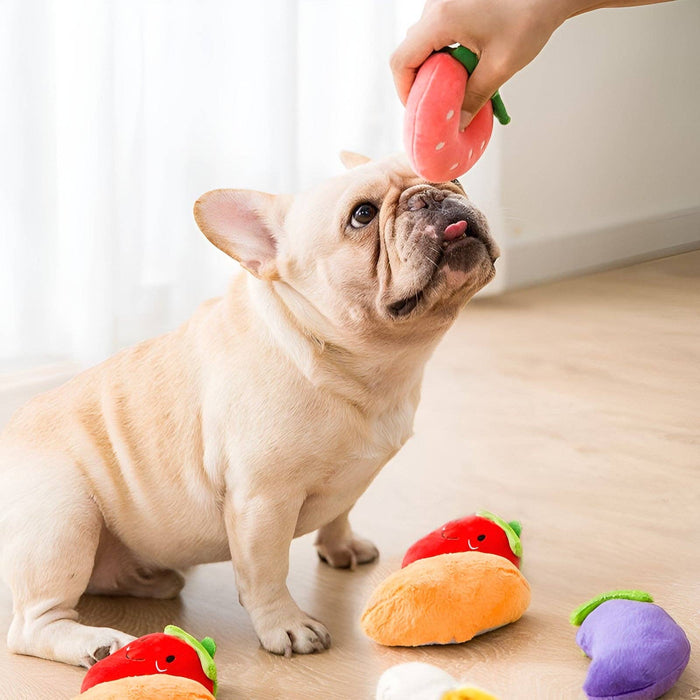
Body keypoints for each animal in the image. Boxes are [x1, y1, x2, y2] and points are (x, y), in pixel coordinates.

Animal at [0, 153, 498, 668]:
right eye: (362, 215)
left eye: (452, 175)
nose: (431, 195)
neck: (355, 364)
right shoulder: (263, 501)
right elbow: (266, 573)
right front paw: (286, 626)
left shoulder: (349, 478)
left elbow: (340, 512)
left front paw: (341, 546)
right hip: (64, 520)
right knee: (31, 625)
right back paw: (96, 643)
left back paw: (151, 581)